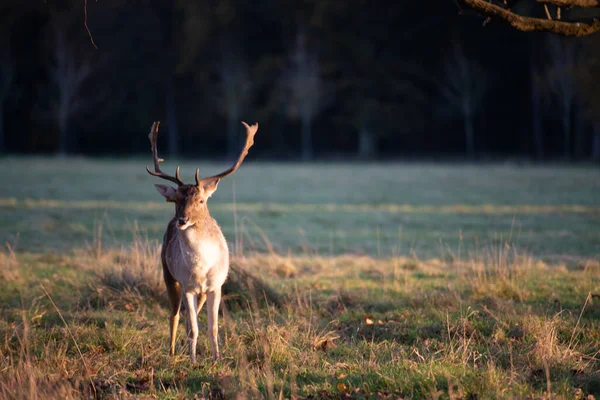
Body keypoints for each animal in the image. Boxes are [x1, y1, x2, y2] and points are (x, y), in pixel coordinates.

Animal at [145, 119, 258, 362]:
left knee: (190, 316)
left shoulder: (216, 286)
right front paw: (193, 360)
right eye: (176, 199)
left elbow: (212, 327)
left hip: (202, 292)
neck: (202, 267)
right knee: (176, 314)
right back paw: (171, 351)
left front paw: (217, 359)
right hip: (168, 273)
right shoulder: (187, 286)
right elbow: (192, 328)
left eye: (201, 200)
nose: (182, 220)